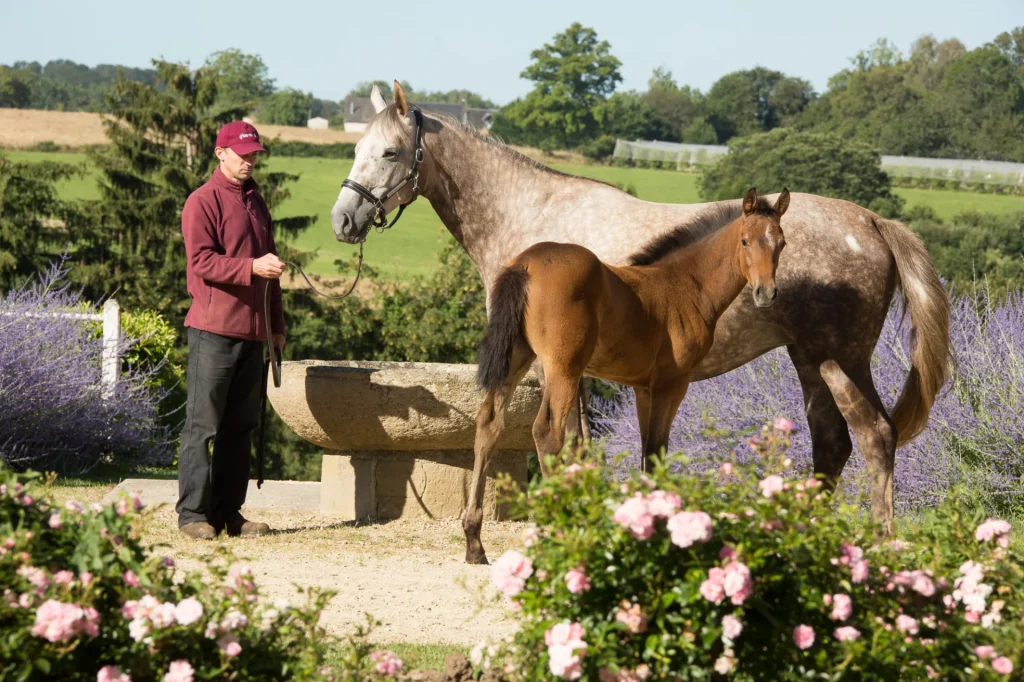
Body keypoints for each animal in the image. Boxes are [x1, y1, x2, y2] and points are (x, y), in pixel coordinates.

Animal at [333, 80, 950, 561]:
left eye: (390, 153)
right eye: (357, 146)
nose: (344, 218)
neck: (531, 215)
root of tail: (872, 221)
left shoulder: (562, 369)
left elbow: (567, 443)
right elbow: (571, 445)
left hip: (839, 359)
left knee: (874, 436)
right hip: (810, 362)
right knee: (833, 444)